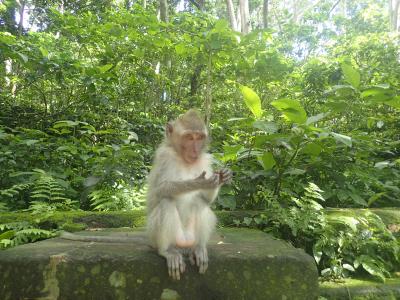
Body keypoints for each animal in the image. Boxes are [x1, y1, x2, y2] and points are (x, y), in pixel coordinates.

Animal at [146, 109, 231, 280]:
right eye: (189, 137)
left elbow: (206, 199)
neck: (183, 158)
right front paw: (198, 183)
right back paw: (167, 251)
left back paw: (198, 248)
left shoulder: (205, 159)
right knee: (166, 202)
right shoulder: (164, 156)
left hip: (191, 237)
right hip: (155, 237)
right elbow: (160, 190)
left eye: (199, 137)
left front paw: (221, 177)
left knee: (200, 203)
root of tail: (183, 244)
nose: (196, 150)